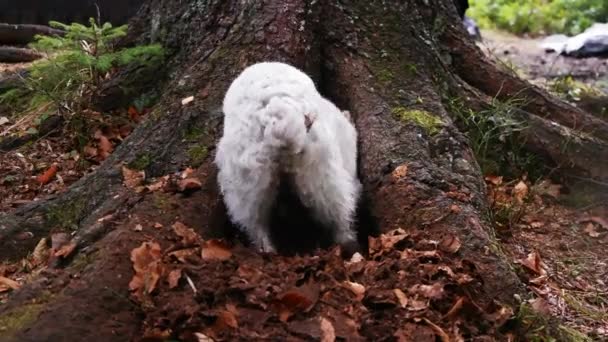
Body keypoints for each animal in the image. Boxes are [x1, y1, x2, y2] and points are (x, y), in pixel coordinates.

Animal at [215, 62, 360, 254]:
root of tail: (277, 114)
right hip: (322, 174)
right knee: (339, 215)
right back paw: (350, 243)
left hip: (247, 183)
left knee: (255, 224)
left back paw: (267, 250)